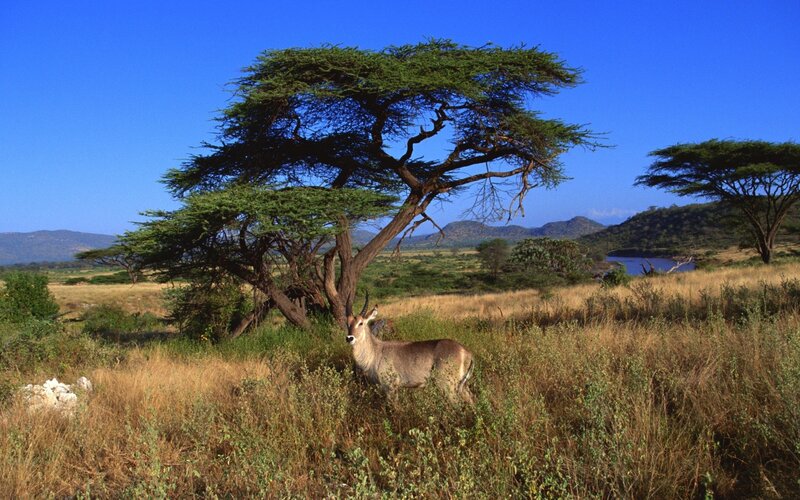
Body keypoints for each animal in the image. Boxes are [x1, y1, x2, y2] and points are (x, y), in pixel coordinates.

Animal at [346, 295, 475, 404]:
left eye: (361, 323)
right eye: (348, 323)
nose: (349, 338)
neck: (376, 351)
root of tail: (466, 352)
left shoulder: (390, 387)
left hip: (447, 386)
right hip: (462, 387)